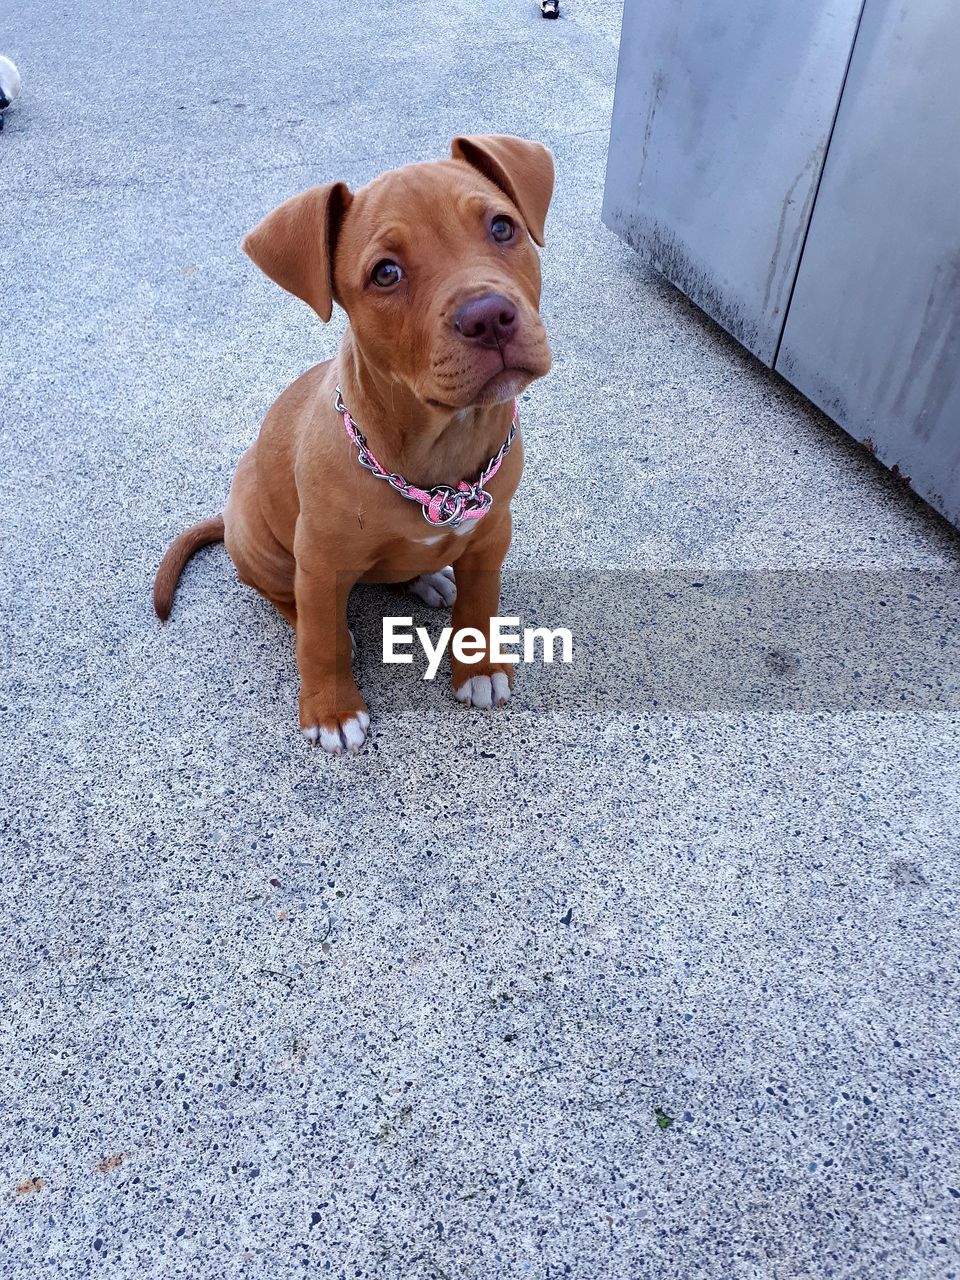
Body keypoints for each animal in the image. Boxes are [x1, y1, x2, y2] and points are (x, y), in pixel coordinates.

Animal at [154, 132, 552, 747]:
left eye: (502, 228)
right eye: (385, 274)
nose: (489, 317)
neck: (437, 449)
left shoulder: (491, 532)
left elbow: (481, 603)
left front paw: (480, 667)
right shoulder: (318, 561)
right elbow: (318, 642)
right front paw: (332, 710)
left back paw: (430, 579)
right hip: (262, 544)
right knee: (291, 604)